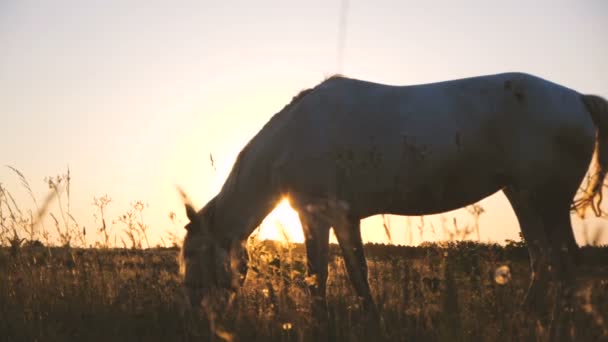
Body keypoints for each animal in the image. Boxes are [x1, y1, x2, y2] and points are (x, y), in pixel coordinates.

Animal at [180, 73, 608, 320]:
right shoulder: (344, 218)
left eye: (193, 254)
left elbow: (320, 274)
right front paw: (370, 316)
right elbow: (356, 271)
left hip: (547, 200)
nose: (197, 312)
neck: (293, 138)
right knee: (544, 258)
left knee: (564, 259)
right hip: (523, 196)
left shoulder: (316, 216)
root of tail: (577, 98)